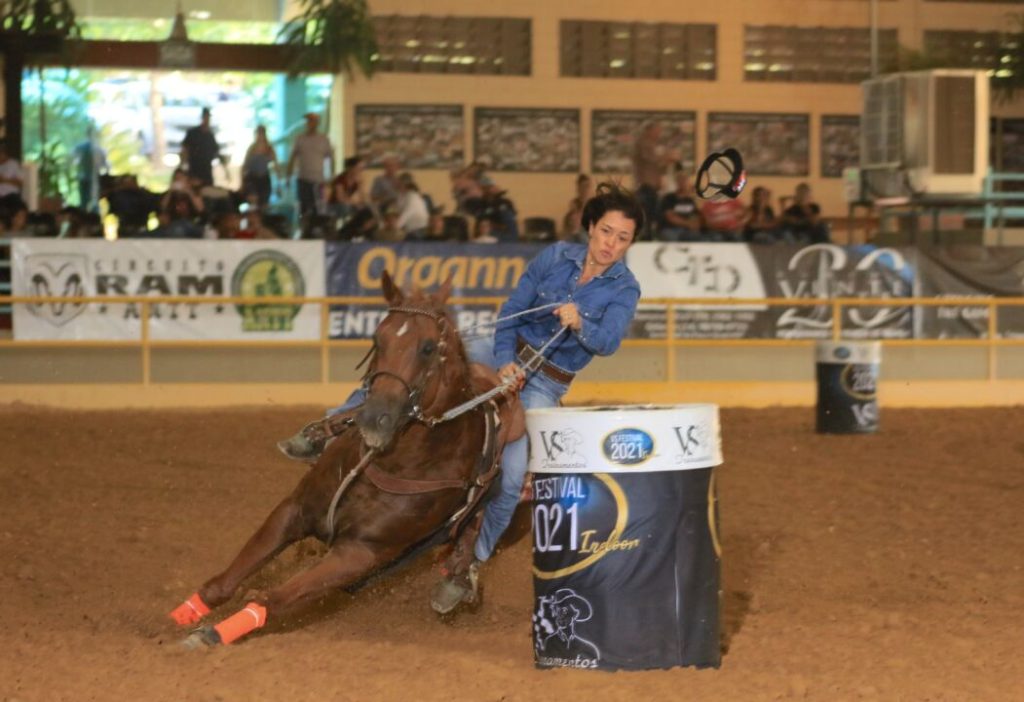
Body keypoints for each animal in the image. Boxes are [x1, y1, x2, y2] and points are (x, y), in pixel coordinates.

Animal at [171, 272, 524, 646]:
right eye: (378, 338)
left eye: (428, 347)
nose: (372, 418)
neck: (393, 463)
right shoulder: (294, 509)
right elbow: (228, 579)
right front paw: (184, 615)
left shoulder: (359, 553)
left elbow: (273, 599)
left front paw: (210, 634)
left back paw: (455, 582)